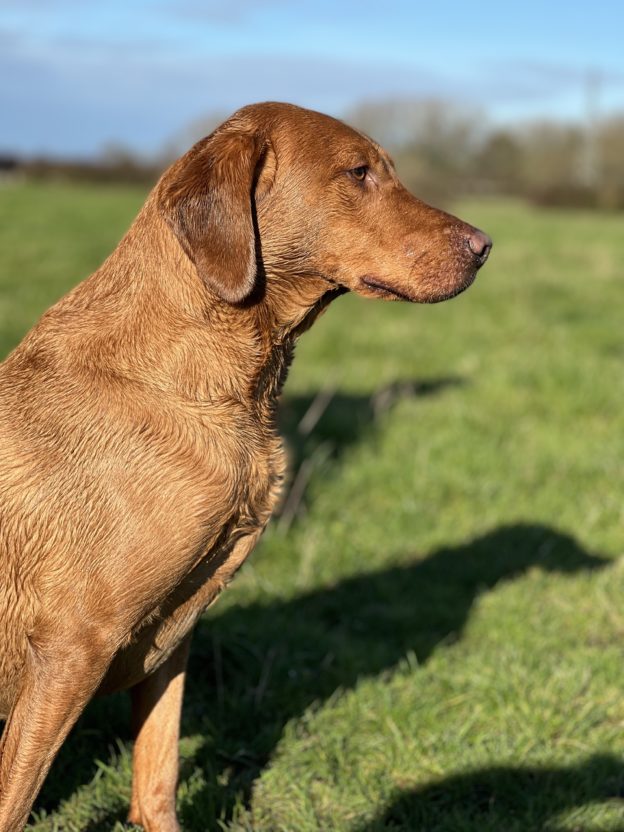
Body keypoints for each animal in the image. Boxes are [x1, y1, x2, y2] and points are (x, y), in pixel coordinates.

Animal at [0, 101, 490, 828]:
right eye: (359, 172)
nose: (486, 245)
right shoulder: (71, 644)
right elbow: (14, 801)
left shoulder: (169, 641)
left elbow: (157, 781)